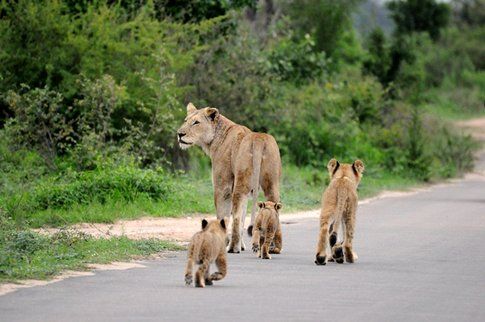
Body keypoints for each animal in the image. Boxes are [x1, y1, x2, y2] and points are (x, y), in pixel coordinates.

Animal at [177, 102, 280, 253]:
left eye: (196, 122)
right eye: (185, 121)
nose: (180, 134)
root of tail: (258, 139)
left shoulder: (222, 187)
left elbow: (224, 216)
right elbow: (243, 217)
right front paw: (242, 246)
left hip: (240, 184)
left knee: (235, 217)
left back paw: (232, 248)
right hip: (271, 185)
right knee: (273, 209)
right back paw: (273, 247)